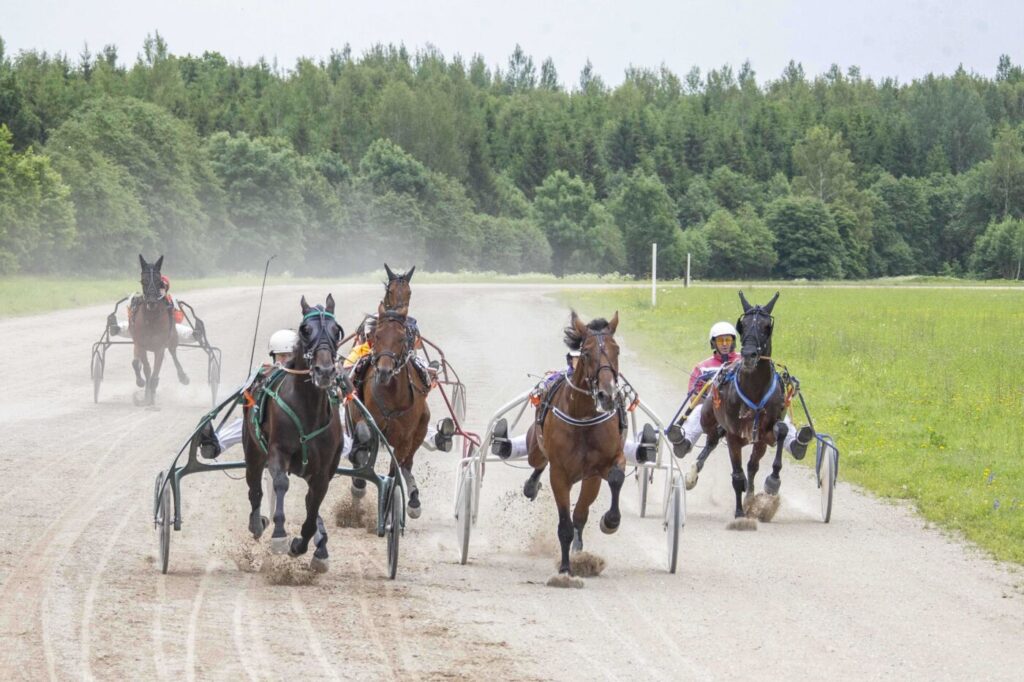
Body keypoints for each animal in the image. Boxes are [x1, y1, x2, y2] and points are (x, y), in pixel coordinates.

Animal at [130, 253, 190, 403]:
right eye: (143, 280)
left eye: (159, 281)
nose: (151, 302)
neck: (151, 319)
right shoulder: (141, 344)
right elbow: (147, 370)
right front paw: (146, 394)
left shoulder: (160, 347)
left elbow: (155, 372)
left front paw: (152, 393)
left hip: (173, 337)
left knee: (173, 353)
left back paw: (182, 376)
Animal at [350, 301, 430, 518]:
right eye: (377, 335)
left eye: (402, 338)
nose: (384, 371)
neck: (391, 395)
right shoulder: (362, 416)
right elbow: (363, 434)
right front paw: (359, 481)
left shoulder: (405, 439)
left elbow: (395, 469)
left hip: (422, 425)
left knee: (407, 464)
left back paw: (413, 499)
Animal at [524, 311, 626, 573]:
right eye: (587, 352)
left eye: (617, 349)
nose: (607, 395)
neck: (584, 418)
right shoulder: (559, 473)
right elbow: (565, 524)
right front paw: (565, 569)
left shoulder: (601, 467)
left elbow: (613, 480)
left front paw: (610, 521)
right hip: (536, 448)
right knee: (538, 462)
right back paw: (531, 485)